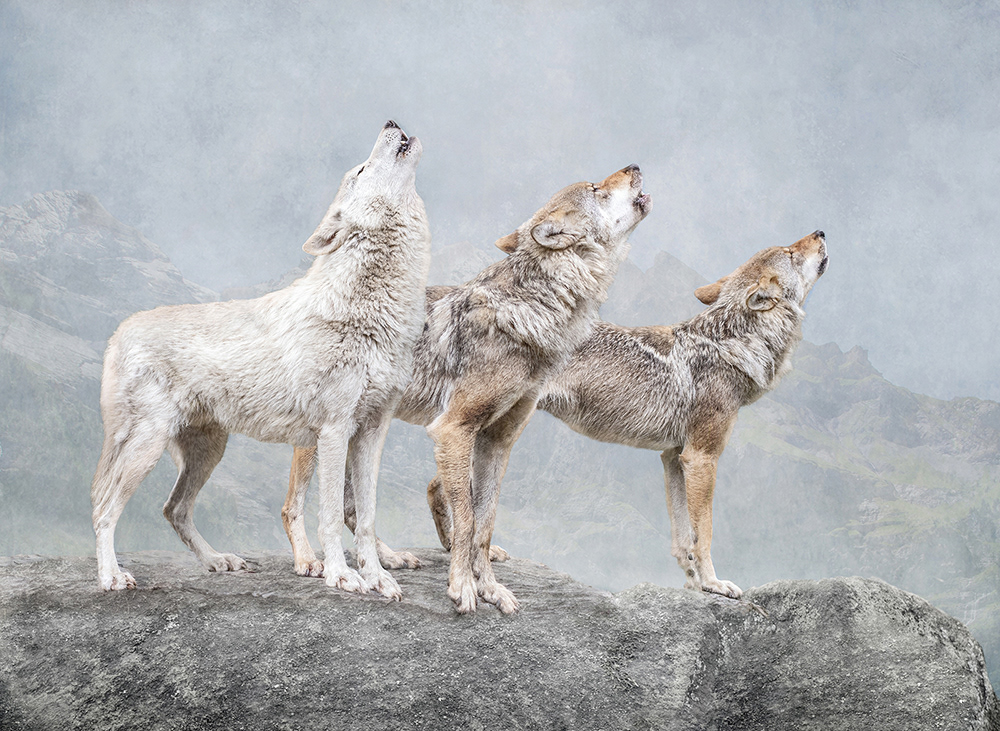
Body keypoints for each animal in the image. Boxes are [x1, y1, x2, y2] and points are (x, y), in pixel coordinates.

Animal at [90, 121, 431, 599]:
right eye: (360, 171)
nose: (391, 122)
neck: (371, 309)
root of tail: (119, 332)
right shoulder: (333, 432)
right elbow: (330, 515)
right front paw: (341, 575)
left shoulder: (371, 433)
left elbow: (365, 516)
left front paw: (379, 578)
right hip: (146, 449)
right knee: (104, 509)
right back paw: (111, 576)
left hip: (207, 452)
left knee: (173, 509)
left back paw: (218, 560)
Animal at [283, 166, 651, 613]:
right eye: (596, 189)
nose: (634, 166)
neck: (537, 310)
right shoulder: (453, 429)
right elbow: (465, 518)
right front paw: (463, 586)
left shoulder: (497, 440)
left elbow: (485, 522)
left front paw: (491, 587)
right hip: (319, 437)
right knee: (294, 505)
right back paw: (310, 561)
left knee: (354, 509)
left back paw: (388, 561)